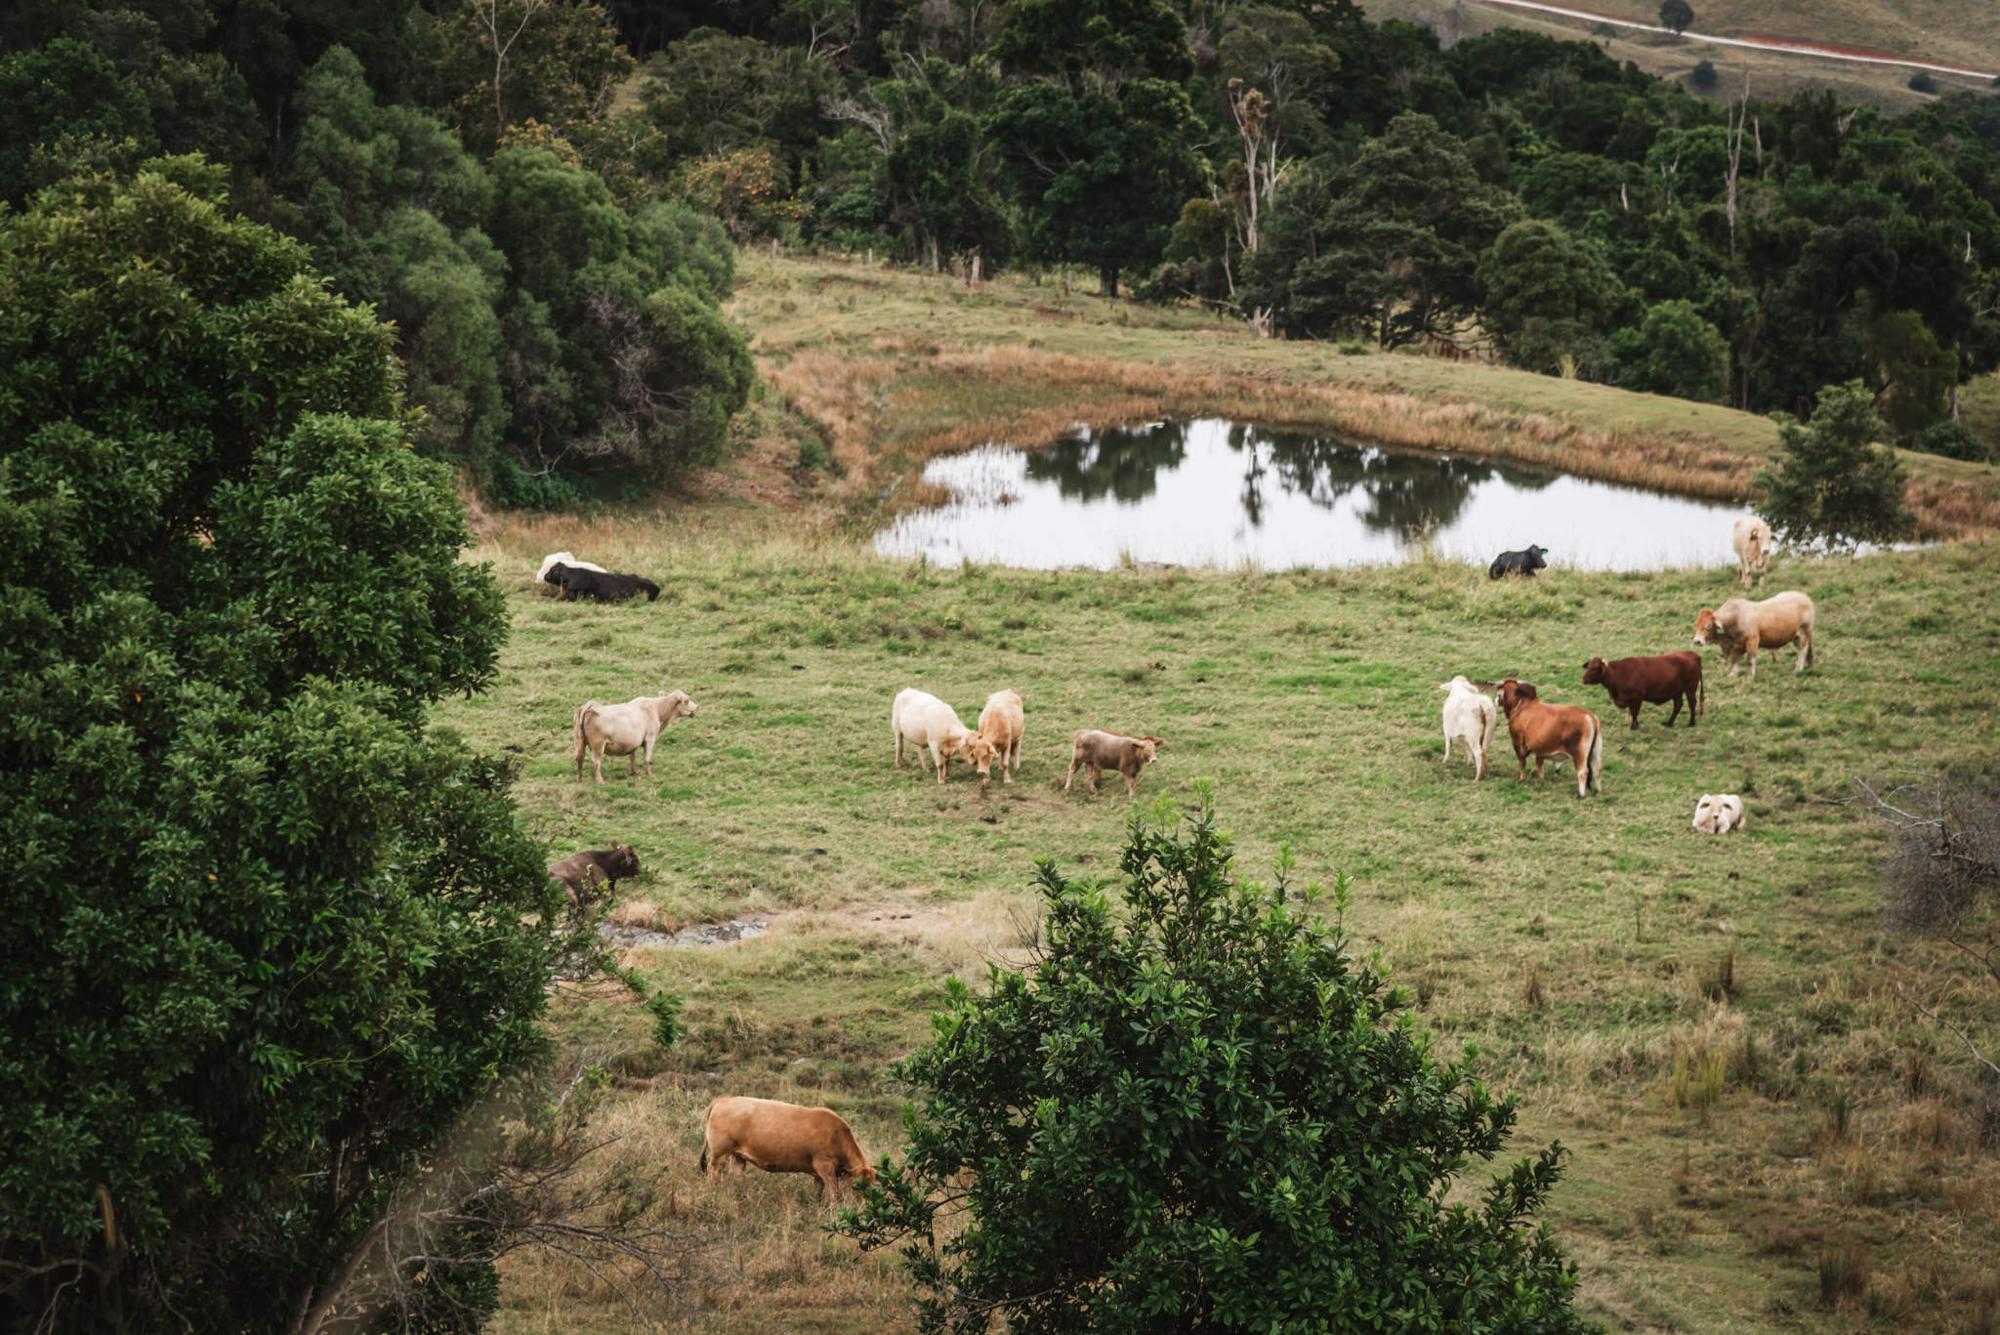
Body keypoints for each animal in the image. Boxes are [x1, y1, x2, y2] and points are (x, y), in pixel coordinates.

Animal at [700, 1095, 880, 1199]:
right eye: (861, 1187)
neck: (838, 1135)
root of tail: (724, 1099)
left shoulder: (818, 1174)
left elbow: (818, 1193)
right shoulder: (825, 1167)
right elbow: (836, 1195)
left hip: (738, 1155)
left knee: (738, 1175)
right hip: (720, 1154)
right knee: (713, 1173)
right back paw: (712, 1194)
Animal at [1576, 647, 1704, 731]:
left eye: (1595, 668)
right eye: (1588, 667)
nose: (1583, 679)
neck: (1620, 674)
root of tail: (1692, 654)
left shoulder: (1637, 697)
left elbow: (1634, 712)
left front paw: (1633, 726)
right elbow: (1632, 711)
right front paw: (1636, 725)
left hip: (1690, 689)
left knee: (1692, 703)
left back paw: (1691, 723)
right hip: (1677, 691)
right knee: (1678, 705)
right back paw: (1669, 723)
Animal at [1696, 591, 1824, 683]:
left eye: (1708, 626)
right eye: (1696, 625)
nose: (1697, 641)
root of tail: (1805, 597)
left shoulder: (1752, 640)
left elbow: (1750, 660)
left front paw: (1750, 677)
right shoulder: (1737, 644)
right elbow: (1735, 659)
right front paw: (1732, 674)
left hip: (1803, 633)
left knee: (1802, 650)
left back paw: (1798, 669)